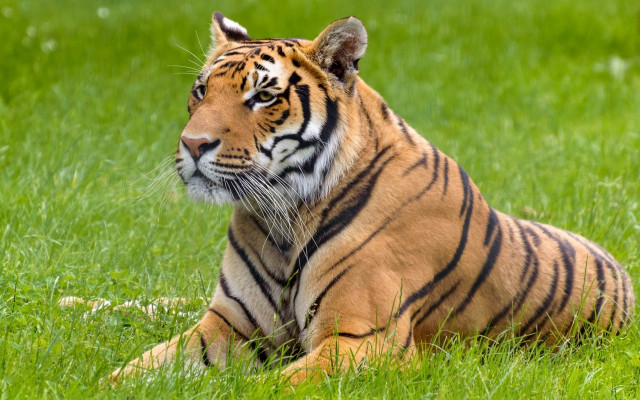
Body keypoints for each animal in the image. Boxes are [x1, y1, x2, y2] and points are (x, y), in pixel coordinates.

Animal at [109, 12, 635, 384]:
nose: (193, 144)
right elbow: (136, 368)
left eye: (263, 97)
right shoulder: (230, 323)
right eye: (201, 90)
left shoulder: (363, 338)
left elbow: (274, 386)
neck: (282, 217)